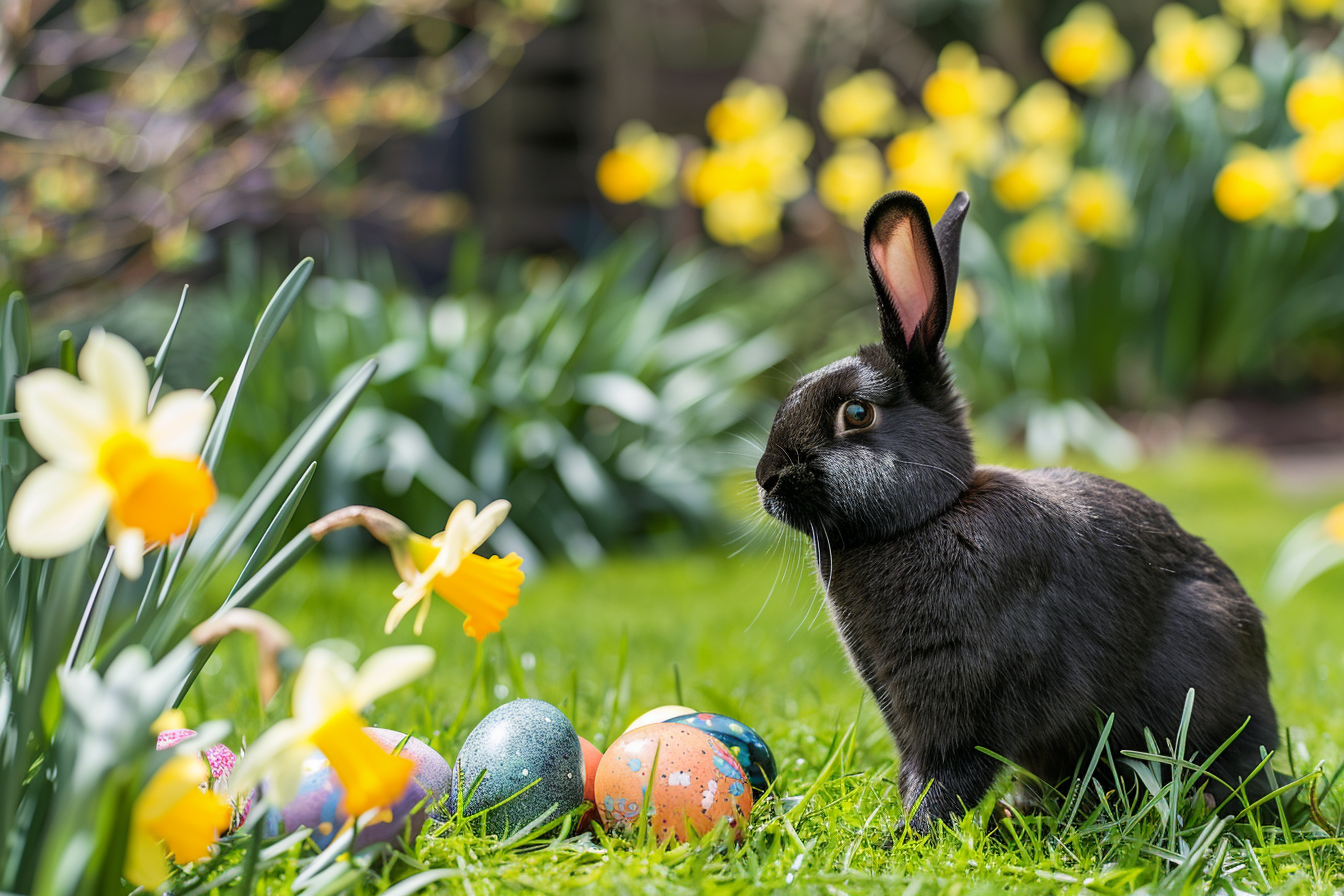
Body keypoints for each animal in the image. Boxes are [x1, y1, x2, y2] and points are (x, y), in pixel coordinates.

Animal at [755, 190, 1277, 833]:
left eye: (856, 414)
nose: (765, 480)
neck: (930, 516)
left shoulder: (967, 703)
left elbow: (949, 775)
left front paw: (907, 836)